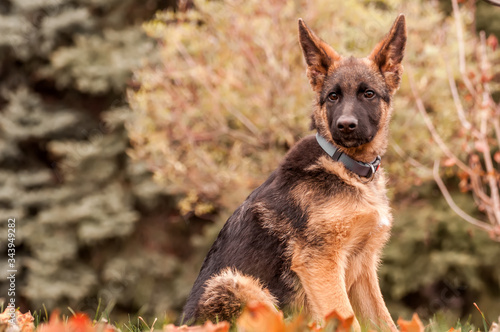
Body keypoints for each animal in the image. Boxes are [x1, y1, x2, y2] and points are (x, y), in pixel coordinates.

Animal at [184, 14, 406, 330]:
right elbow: (348, 320)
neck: (346, 166)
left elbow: (384, 321)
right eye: (333, 97)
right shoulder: (320, 262)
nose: (345, 126)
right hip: (233, 283)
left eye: (369, 94)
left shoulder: (363, 267)